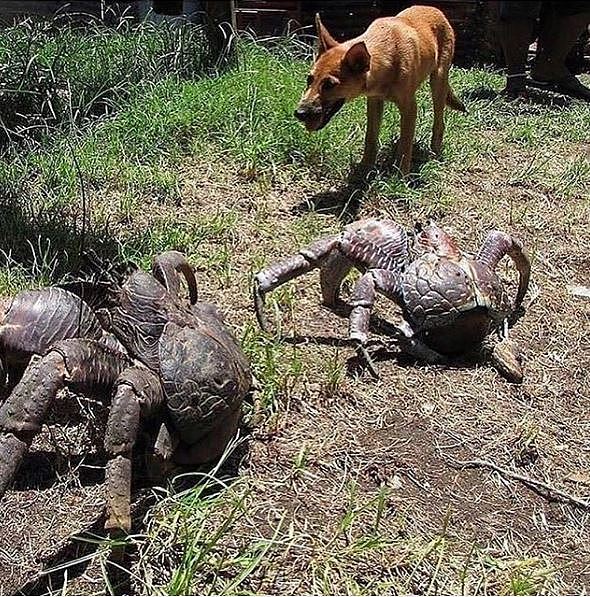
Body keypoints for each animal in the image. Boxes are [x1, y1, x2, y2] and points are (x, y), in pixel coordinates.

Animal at [296, 6, 468, 175]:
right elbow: (370, 138)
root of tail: (435, 9)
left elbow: (405, 144)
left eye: (329, 84)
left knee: (439, 122)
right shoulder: (374, 101)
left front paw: (401, 175)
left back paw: (434, 153)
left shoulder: (409, 108)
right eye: (309, 79)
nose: (299, 113)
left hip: (438, 82)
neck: (388, 56)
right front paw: (365, 168)